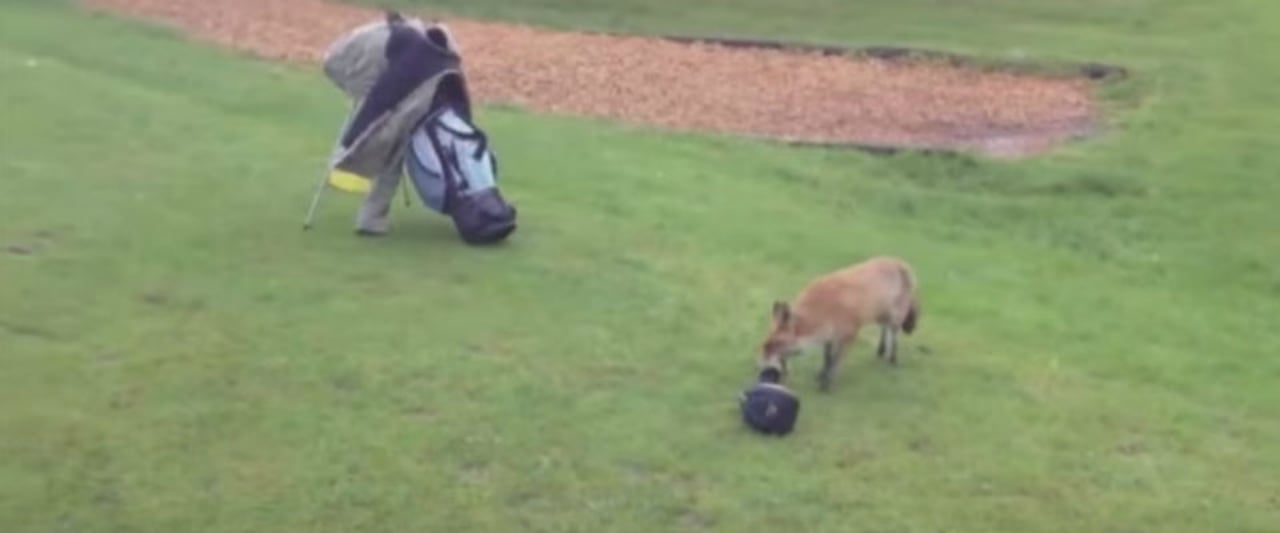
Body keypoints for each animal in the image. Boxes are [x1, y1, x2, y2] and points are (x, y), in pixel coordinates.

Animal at [759, 256, 920, 392]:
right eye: (765, 344)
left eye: (774, 344)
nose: (760, 366)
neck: (824, 309)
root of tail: (899, 261)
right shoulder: (829, 336)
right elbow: (827, 359)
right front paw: (822, 374)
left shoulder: (849, 334)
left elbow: (835, 361)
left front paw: (826, 383)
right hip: (881, 315)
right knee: (884, 329)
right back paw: (881, 350)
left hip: (895, 317)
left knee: (894, 336)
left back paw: (893, 359)